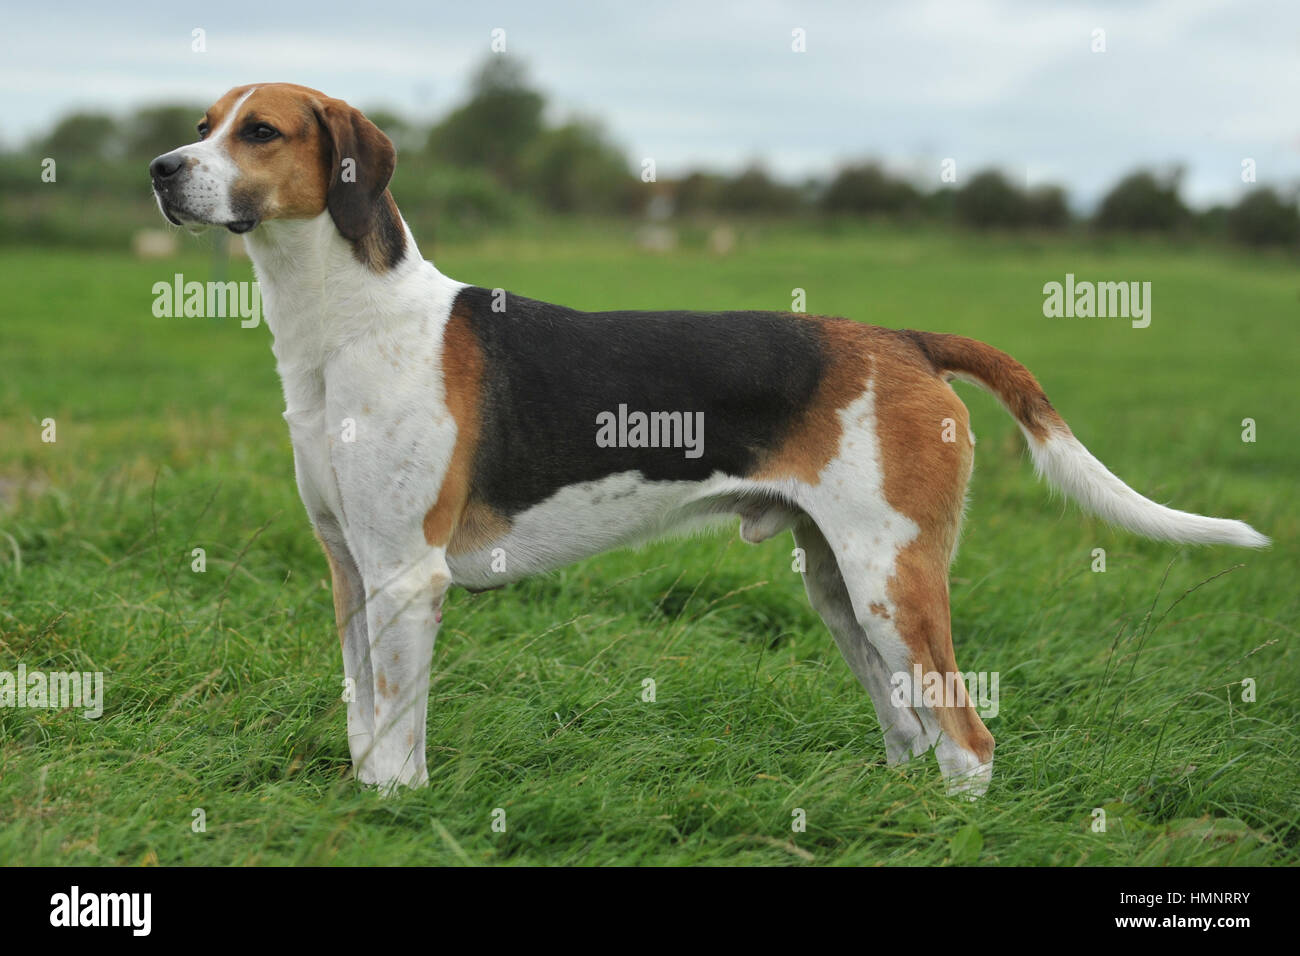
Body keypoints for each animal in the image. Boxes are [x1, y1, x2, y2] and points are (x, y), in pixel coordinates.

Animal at [149, 83, 1268, 801]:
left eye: (259, 131)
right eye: (202, 126)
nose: (161, 168)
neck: (344, 320)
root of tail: (906, 338)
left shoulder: (406, 577)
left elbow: (392, 739)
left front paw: (392, 813)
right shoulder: (350, 568)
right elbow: (359, 715)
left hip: (891, 580)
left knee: (968, 738)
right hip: (840, 587)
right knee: (912, 734)